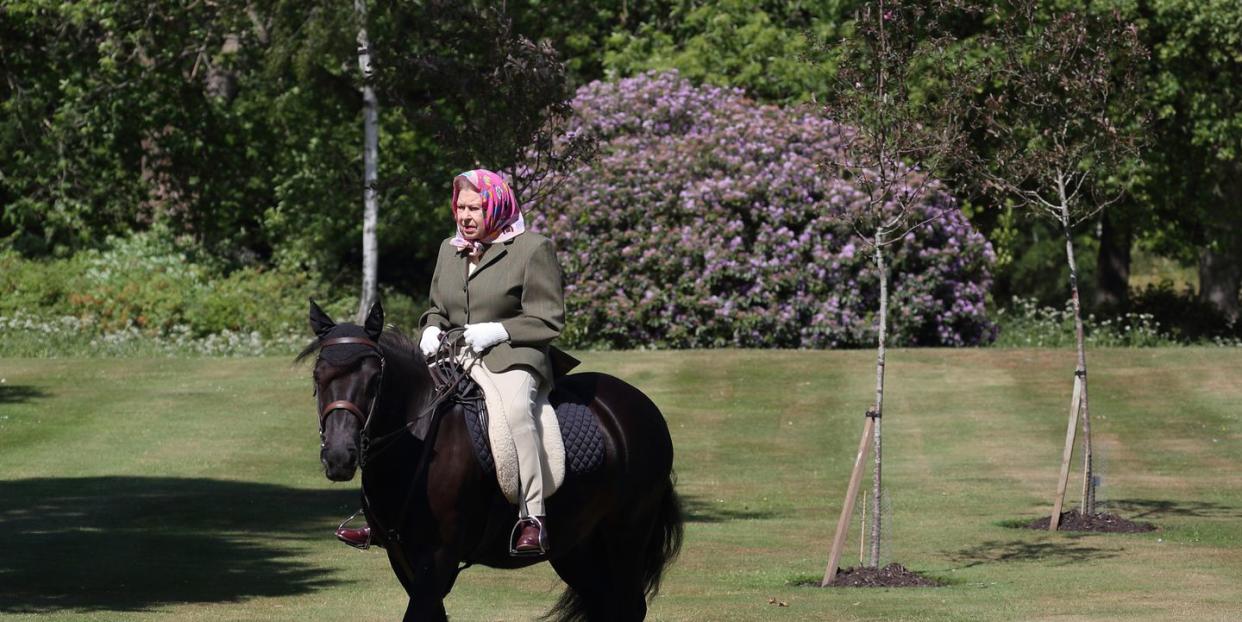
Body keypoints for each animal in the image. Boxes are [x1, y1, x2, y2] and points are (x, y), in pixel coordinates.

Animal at [300, 297, 690, 618]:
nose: (339, 456)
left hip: (626, 533)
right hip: (575, 545)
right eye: (318, 376)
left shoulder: (438, 557)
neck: (417, 442)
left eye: (374, 378)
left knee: (628, 606)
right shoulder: (403, 557)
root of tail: (640, 405)